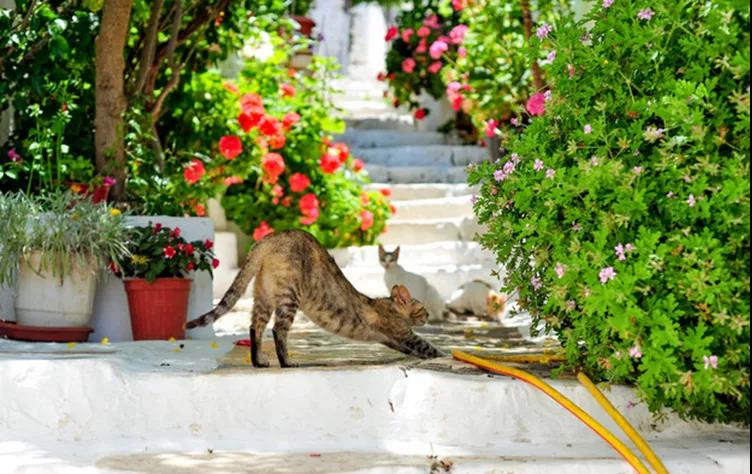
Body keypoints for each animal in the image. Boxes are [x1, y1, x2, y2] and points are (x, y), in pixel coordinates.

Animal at [187, 230, 446, 366]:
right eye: (422, 309)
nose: (428, 315)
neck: (386, 304)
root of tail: (269, 238)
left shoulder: (393, 339)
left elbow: (419, 350)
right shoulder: (403, 334)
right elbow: (429, 347)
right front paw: (446, 356)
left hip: (263, 294)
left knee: (255, 327)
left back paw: (258, 361)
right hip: (289, 296)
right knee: (278, 330)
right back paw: (286, 363)